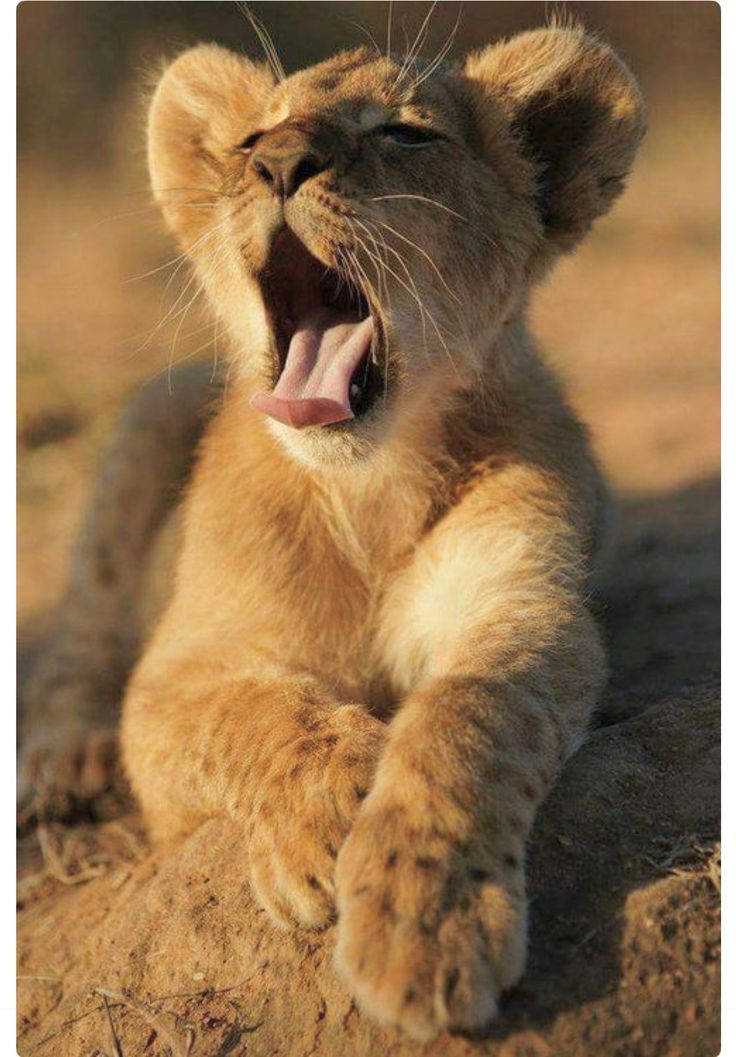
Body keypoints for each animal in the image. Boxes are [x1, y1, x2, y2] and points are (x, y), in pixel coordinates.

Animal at [20, 22, 644, 1040]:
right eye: (248, 141)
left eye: (405, 132)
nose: (276, 162)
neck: (370, 491)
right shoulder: (178, 667)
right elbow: (254, 713)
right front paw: (326, 815)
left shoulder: (521, 606)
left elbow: (465, 722)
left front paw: (423, 925)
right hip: (150, 420)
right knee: (83, 624)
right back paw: (64, 759)